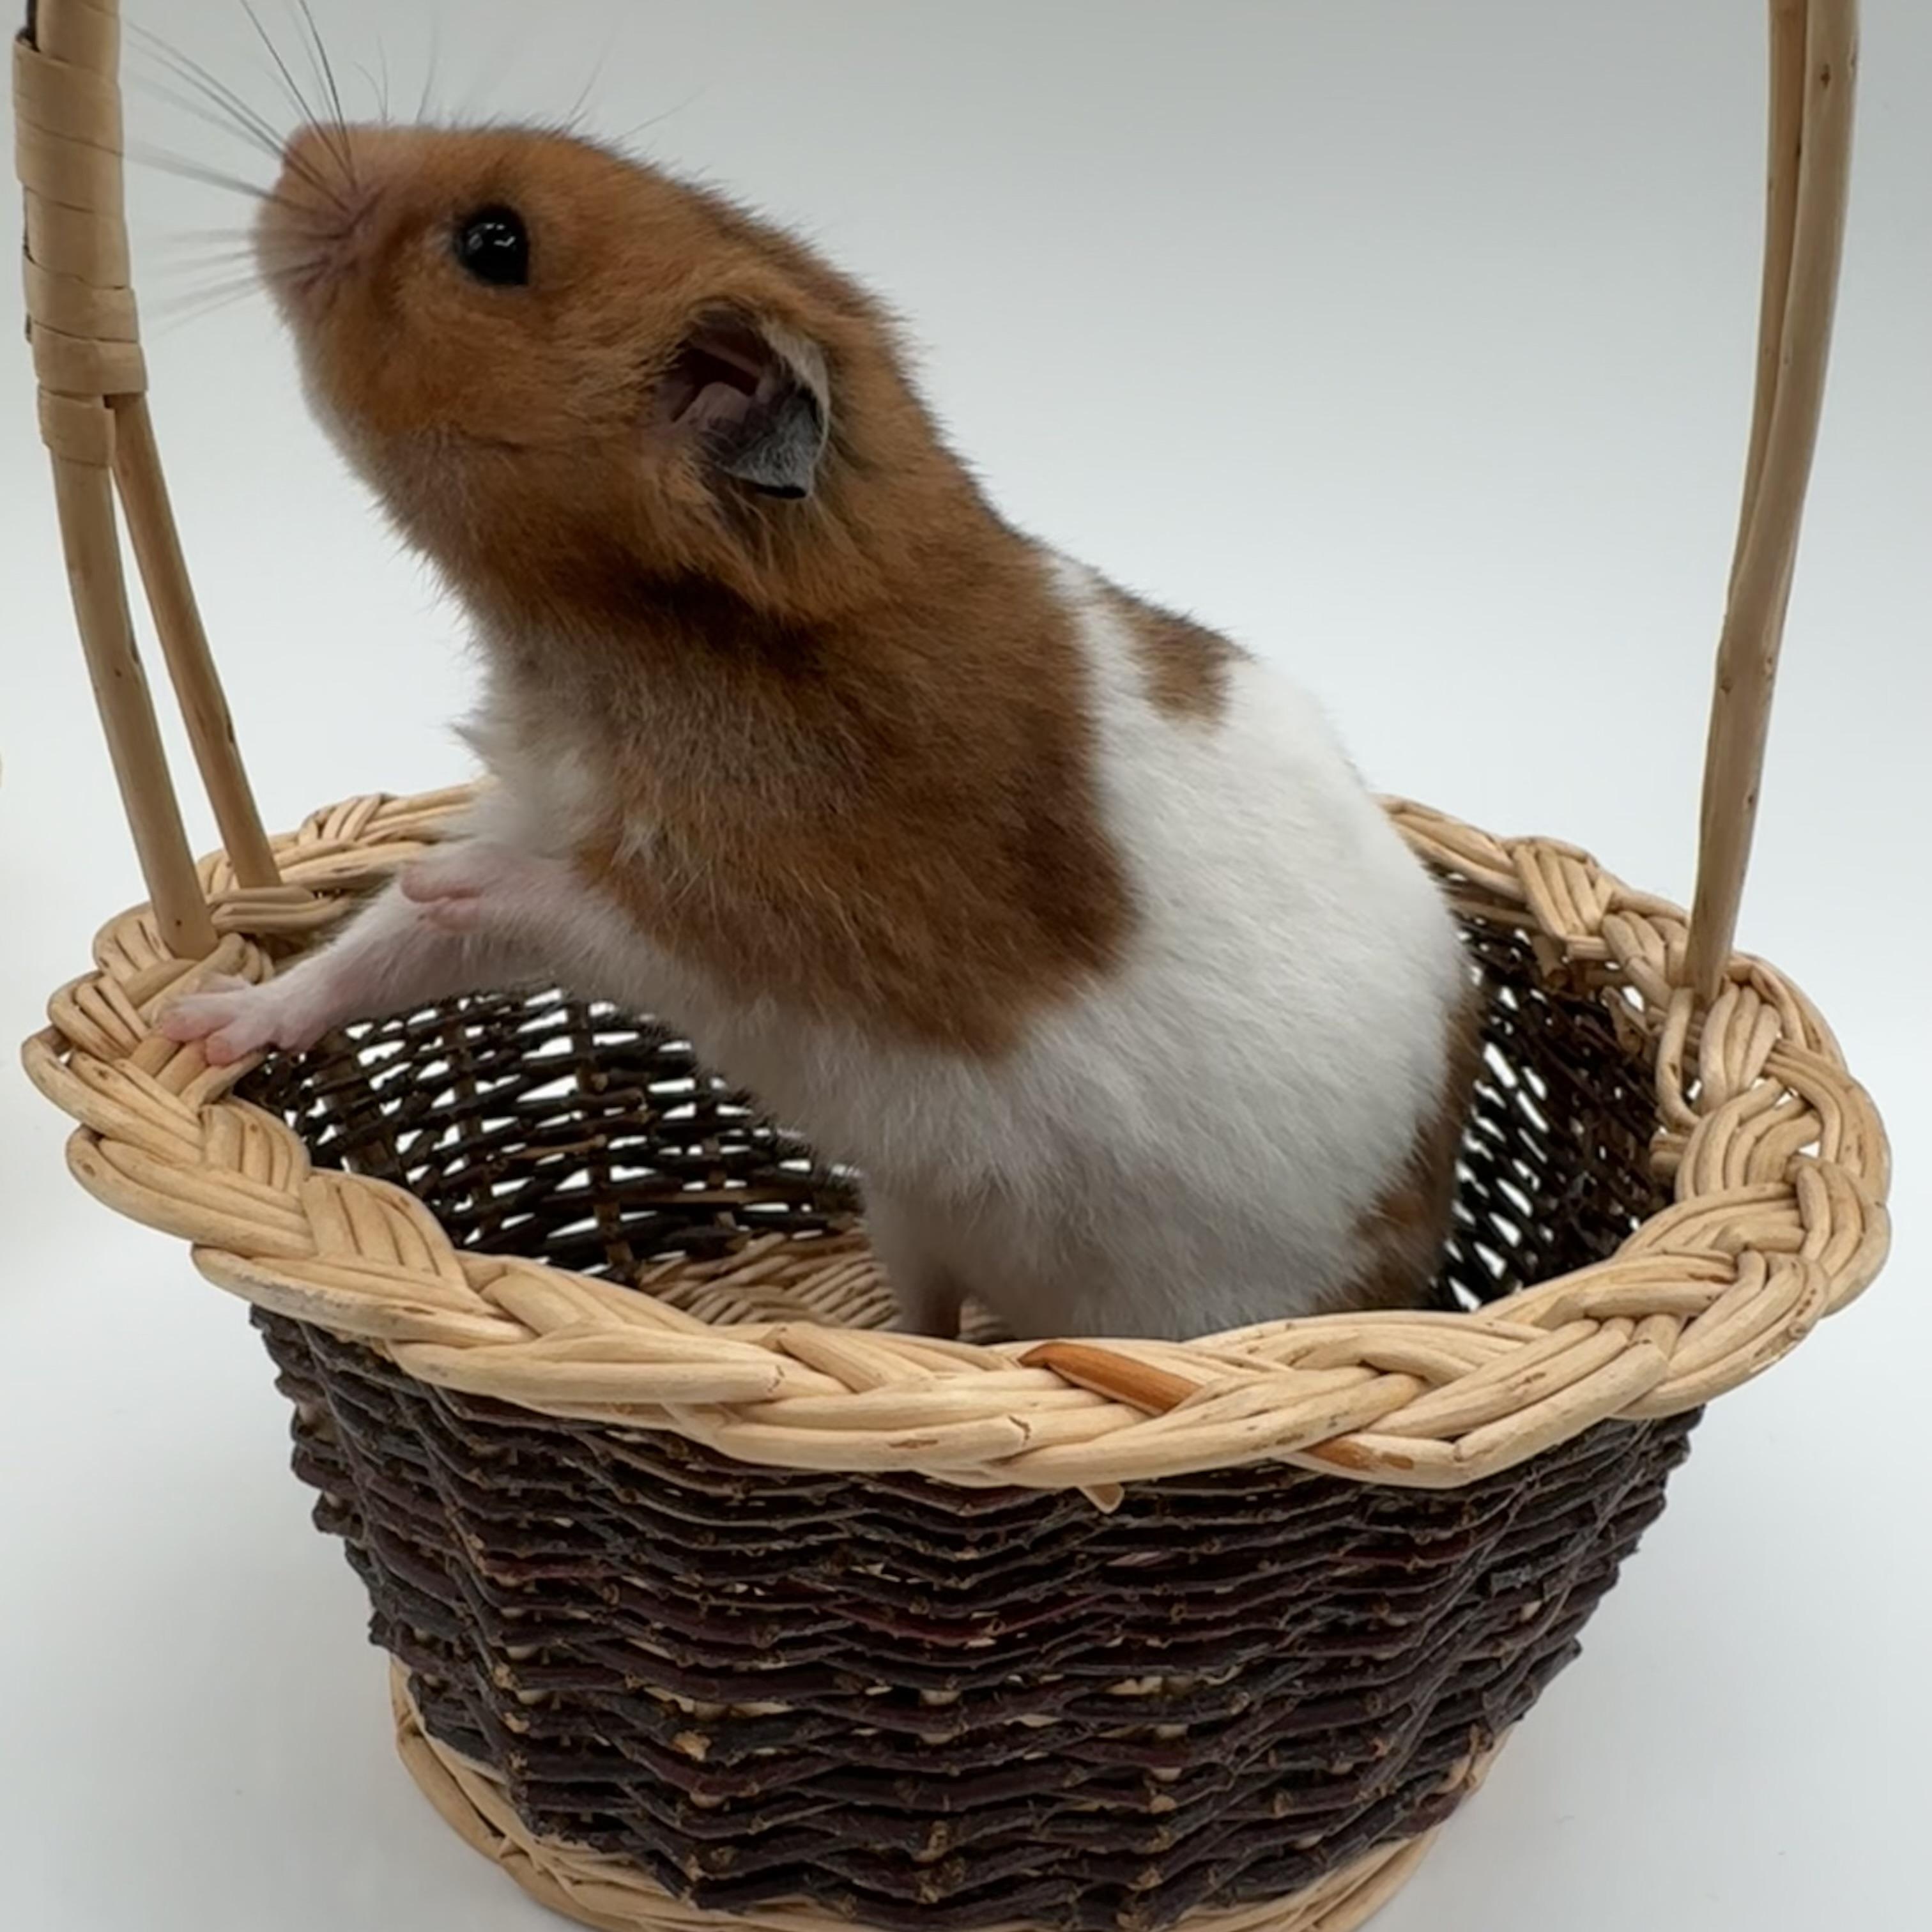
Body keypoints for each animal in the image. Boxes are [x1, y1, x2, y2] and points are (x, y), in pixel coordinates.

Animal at [164, 122, 1482, 1343]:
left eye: (494, 244)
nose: (299, 146)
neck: (636, 644)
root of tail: (1398, 1292)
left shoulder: (772, 931)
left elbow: (561, 907)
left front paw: (450, 882)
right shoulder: (540, 802)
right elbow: (375, 952)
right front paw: (203, 1022)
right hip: (909, 1213)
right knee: (930, 1317)